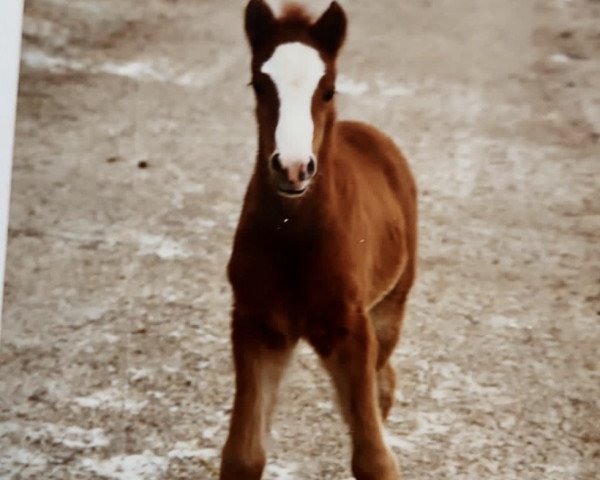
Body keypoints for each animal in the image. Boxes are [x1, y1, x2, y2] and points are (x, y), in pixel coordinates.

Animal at [220, 1, 418, 478]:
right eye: (258, 84)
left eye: (328, 90)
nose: (292, 168)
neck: (296, 240)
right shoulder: (257, 326)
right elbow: (243, 454)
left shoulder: (352, 330)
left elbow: (373, 458)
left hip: (390, 307)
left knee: (382, 384)